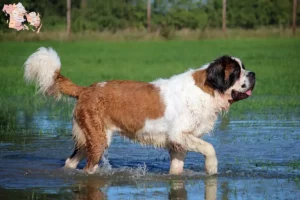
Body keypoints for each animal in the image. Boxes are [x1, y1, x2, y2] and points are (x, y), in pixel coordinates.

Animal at [24, 47, 255, 175]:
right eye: (236, 72)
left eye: (244, 67)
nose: (252, 74)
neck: (208, 89)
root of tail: (86, 89)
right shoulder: (179, 134)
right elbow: (210, 148)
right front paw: (212, 169)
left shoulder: (178, 143)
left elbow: (176, 168)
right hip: (98, 140)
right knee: (89, 168)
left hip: (89, 138)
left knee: (71, 161)